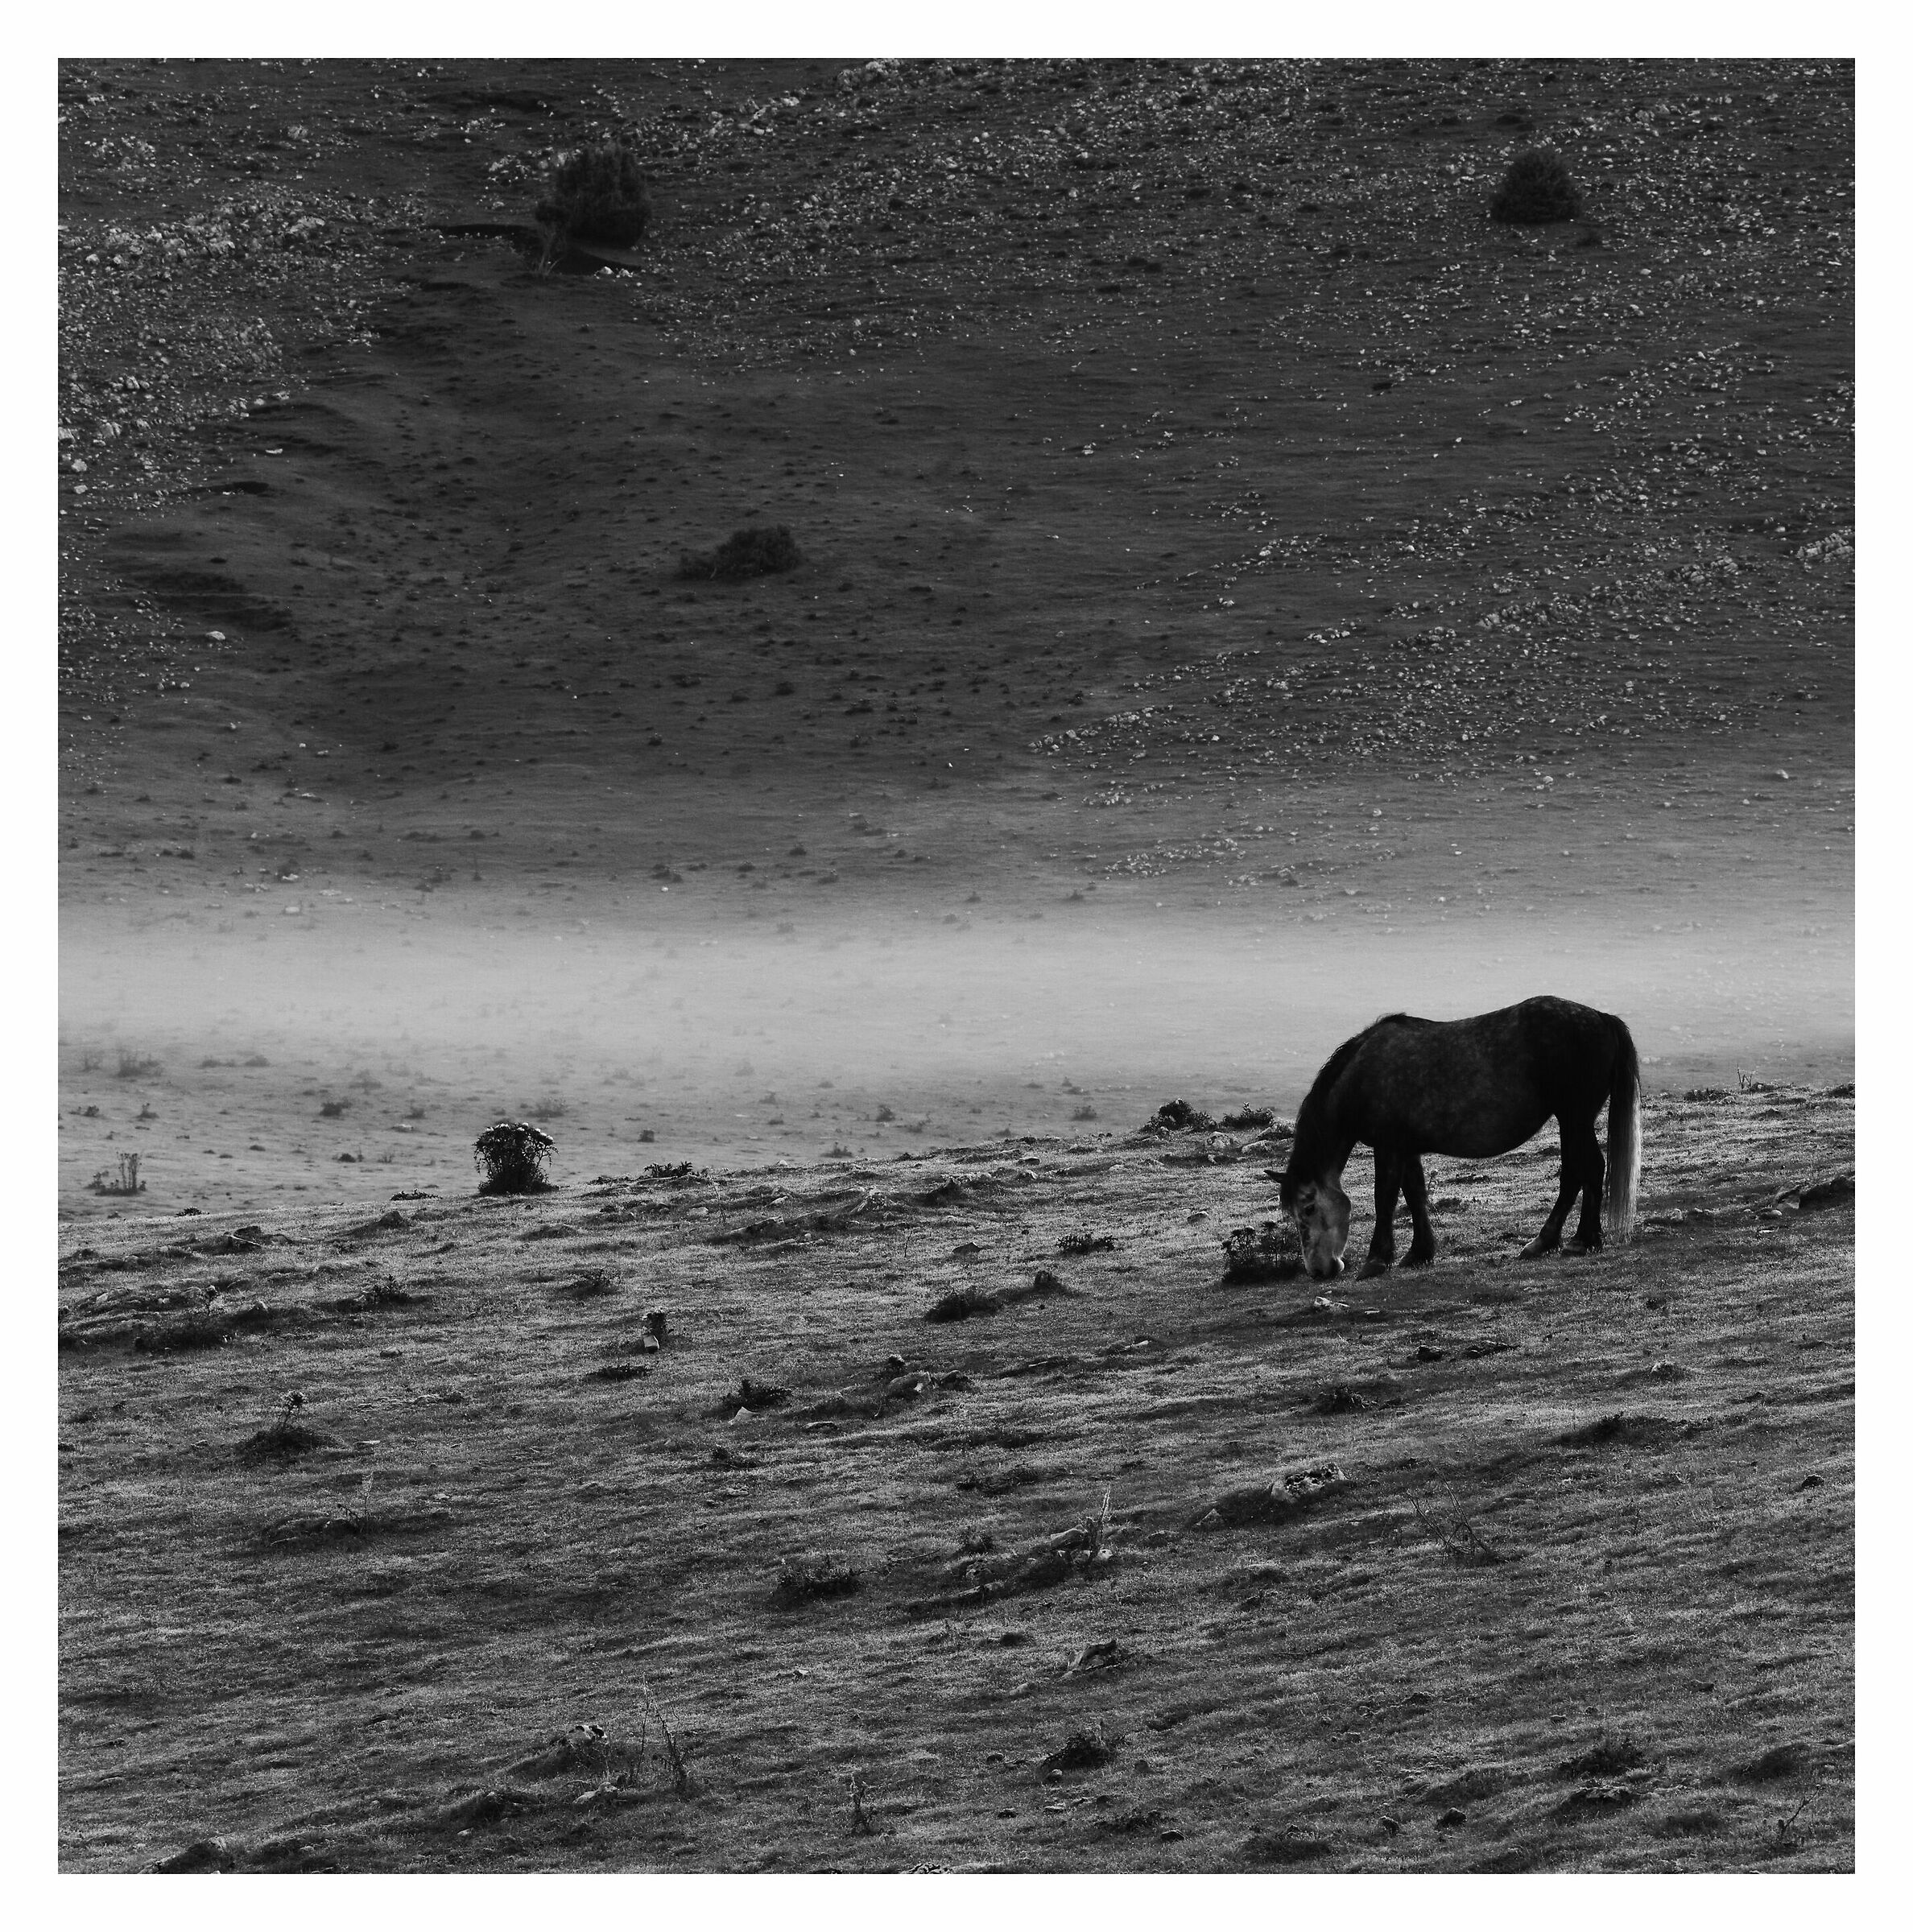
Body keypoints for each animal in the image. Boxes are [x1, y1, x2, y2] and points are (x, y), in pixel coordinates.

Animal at [1275, 995, 1640, 1281]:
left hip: (1574, 1118)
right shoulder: (1406, 1148)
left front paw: (1377, 1260)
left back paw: (1580, 1240)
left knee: (1588, 1169)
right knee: (1578, 1172)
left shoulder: (1388, 1146)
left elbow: (1385, 1198)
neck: (1362, 1075)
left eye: (1308, 1208)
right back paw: (1552, 1242)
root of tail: (1601, 1018)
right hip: (1573, 1121)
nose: (1319, 1271)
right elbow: (1415, 1195)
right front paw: (1419, 1253)